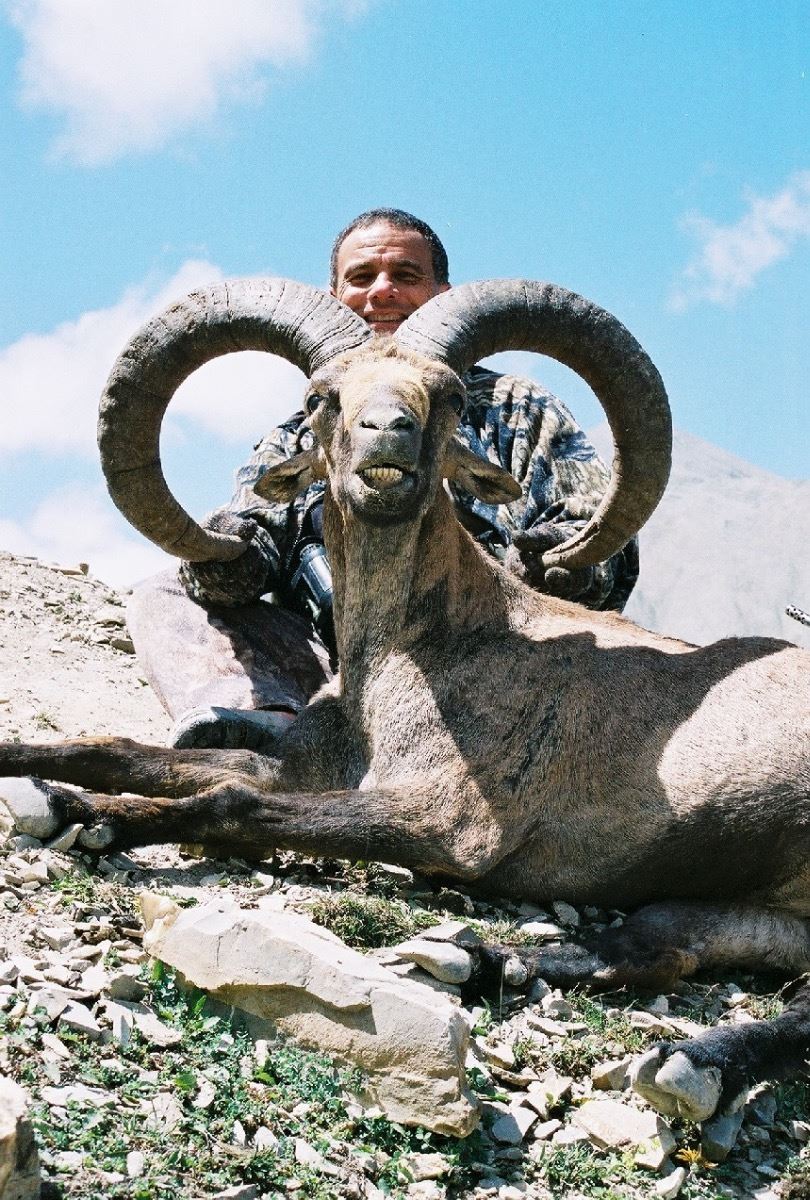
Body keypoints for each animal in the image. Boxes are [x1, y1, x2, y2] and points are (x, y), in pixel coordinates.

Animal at [1, 278, 808, 1126]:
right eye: (320, 397)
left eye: (449, 396)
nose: (388, 432)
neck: (416, 655)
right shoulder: (305, 770)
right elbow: (124, 753)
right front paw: (48, 792)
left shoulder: (444, 822)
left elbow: (231, 805)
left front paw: (99, 822)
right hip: (757, 910)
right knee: (658, 945)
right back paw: (484, 962)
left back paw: (692, 1062)